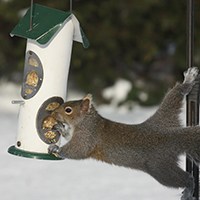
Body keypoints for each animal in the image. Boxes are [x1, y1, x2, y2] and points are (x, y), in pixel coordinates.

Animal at [48, 66, 200, 199]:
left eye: (68, 110)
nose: (53, 113)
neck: (86, 121)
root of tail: (173, 136)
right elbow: (69, 136)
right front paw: (60, 128)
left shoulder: (88, 136)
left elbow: (78, 150)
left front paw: (56, 149)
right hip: (165, 115)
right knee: (175, 94)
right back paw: (189, 79)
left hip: (161, 168)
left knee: (186, 179)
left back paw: (189, 189)